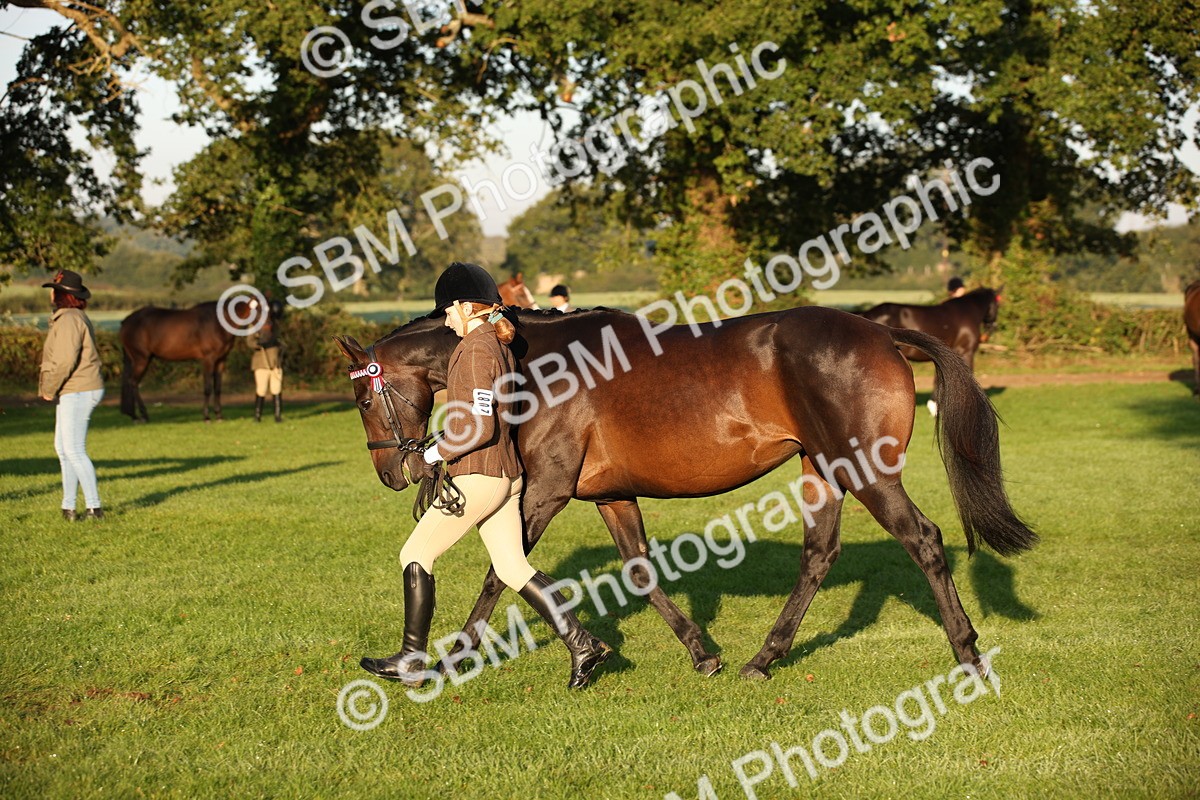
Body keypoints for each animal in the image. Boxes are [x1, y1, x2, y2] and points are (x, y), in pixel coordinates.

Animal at [120, 301, 269, 422]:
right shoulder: (208, 360)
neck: (217, 323)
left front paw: (219, 415)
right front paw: (207, 416)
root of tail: (126, 321)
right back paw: (143, 415)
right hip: (141, 359)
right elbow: (208, 388)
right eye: (258, 310)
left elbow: (218, 388)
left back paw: (133, 415)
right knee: (133, 383)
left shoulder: (220, 361)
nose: (267, 331)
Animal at [334, 306, 1037, 682]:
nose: (394, 473)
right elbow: (640, 572)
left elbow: (497, 575)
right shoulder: (610, 496)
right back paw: (763, 658)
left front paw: (447, 661)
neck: (530, 364)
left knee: (923, 540)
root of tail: (880, 333)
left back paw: (968, 655)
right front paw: (701, 654)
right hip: (820, 468)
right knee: (819, 555)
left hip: (865, 471)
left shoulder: (547, 490)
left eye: (363, 397)